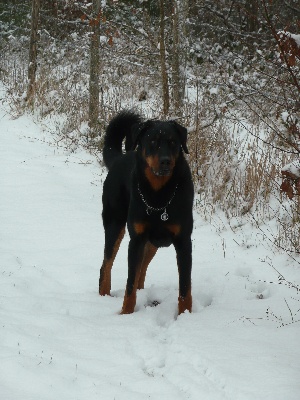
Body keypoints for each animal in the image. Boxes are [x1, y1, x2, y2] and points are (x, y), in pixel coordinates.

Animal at [99, 111, 195, 314]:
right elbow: (129, 284)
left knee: (141, 270)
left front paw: (185, 315)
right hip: (114, 225)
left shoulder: (184, 242)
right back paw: (103, 296)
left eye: (173, 142)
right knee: (106, 265)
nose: (166, 160)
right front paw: (126, 313)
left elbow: (185, 287)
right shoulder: (136, 240)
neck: (159, 194)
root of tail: (118, 158)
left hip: (152, 243)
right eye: (152, 141)